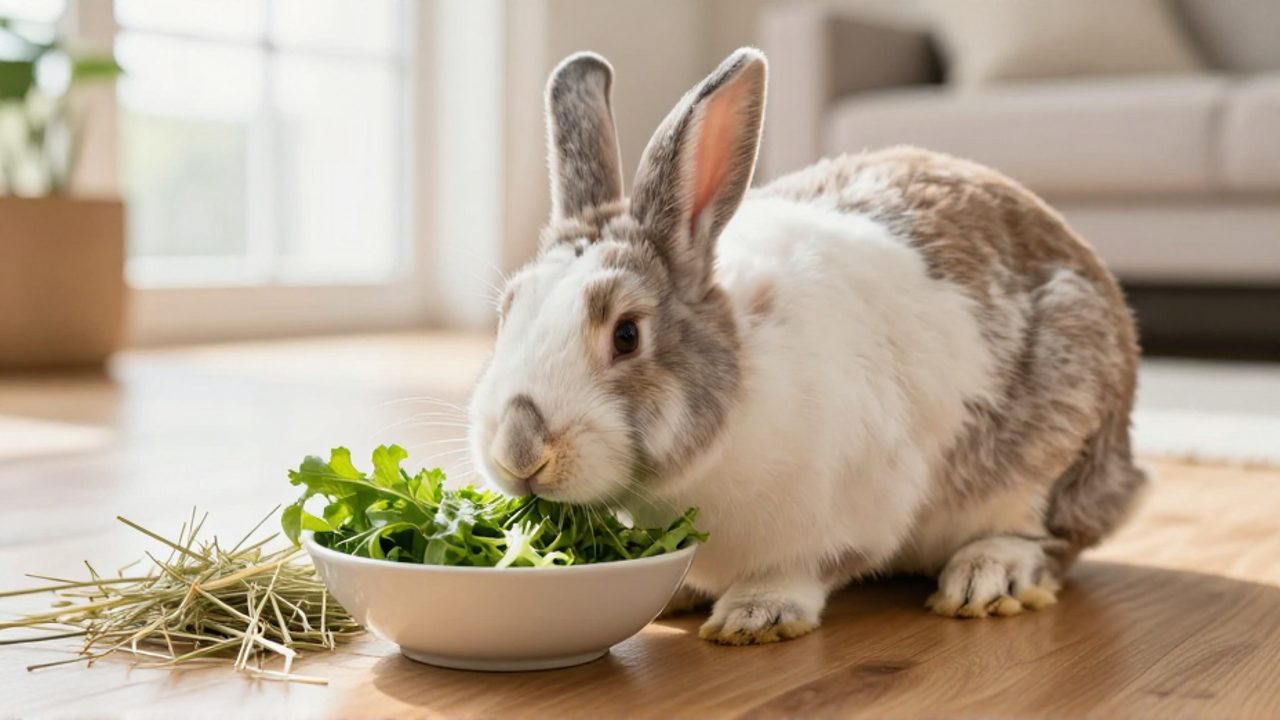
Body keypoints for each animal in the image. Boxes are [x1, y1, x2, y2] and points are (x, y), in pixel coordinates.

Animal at [467, 47, 1146, 645]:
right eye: (507, 313)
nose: (520, 450)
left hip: (1056, 449)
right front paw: (679, 592)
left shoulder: (852, 509)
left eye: (627, 335)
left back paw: (987, 577)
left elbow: (803, 570)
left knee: (1049, 538)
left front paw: (756, 617)